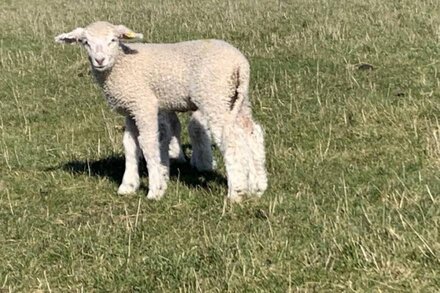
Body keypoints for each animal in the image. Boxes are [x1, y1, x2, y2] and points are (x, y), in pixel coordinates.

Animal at [55, 20, 268, 201]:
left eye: (113, 40)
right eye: (85, 42)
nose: (100, 60)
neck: (121, 65)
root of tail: (240, 64)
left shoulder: (144, 104)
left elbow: (148, 143)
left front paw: (156, 189)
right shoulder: (130, 109)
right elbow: (130, 145)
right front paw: (128, 186)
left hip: (214, 96)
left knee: (230, 140)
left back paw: (236, 193)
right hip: (236, 98)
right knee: (252, 133)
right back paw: (258, 186)